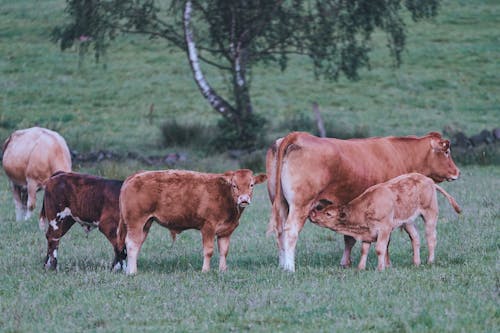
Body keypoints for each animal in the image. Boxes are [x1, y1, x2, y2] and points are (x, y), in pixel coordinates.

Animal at [119, 167, 268, 274]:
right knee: (131, 244)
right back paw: (132, 272)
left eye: (251, 185)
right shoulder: (208, 226)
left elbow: (224, 251)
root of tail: (135, 175)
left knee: (137, 244)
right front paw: (205, 270)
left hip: (146, 224)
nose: (244, 199)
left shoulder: (226, 231)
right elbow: (208, 250)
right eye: (234, 185)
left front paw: (223, 270)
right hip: (135, 221)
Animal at [310, 172, 462, 272]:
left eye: (329, 214)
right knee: (415, 238)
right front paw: (361, 268)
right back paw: (416, 262)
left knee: (431, 237)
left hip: (430, 214)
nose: (312, 214)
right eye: (323, 209)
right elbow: (364, 250)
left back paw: (430, 261)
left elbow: (379, 249)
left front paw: (380, 268)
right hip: (408, 222)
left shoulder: (385, 229)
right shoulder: (367, 232)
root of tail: (428, 179)